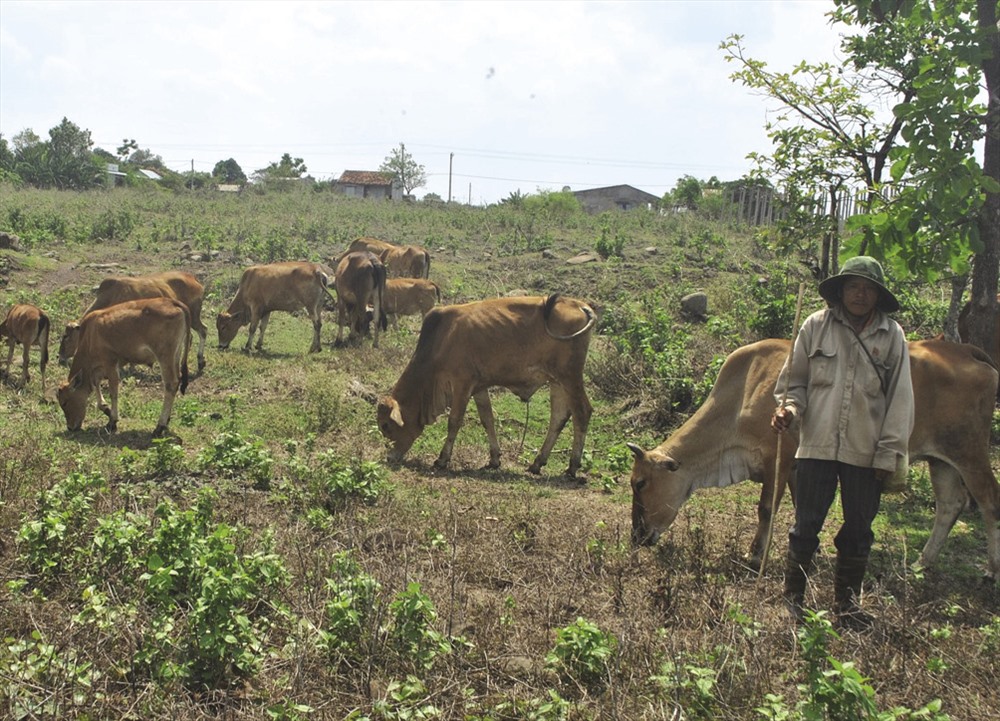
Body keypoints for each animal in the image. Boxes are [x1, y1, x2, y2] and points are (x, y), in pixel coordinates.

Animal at [56, 296, 191, 436]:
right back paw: (167, 421)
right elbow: (96, 383)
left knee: (171, 384)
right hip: (176, 355)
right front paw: (106, 409)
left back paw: (160, 426)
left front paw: (112, 422)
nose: (70, 427)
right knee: (177, 380)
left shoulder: (111, 363)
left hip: (165, 357)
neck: (89, 335)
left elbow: (113, 391)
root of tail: (173, 302)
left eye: (64, 402)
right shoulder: (99, 369)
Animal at [58, 270, 207, 372]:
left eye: (66, 337)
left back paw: (199, 361)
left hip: (194, 317)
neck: (112, 294)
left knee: (203, 331)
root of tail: (192, 278)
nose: (60, 357)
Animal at [376, 292, 592, 478]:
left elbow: (454, 421)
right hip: (557, 381)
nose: (390, 457)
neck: (442, 339)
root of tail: (580, 305)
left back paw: (572, 466)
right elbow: (487, 419)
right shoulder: (479, 387)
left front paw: (442, 459)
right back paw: (537, 463)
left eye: (386, 425)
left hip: (570, 377)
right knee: (558, 417)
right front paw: (494, 459)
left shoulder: (462, 384)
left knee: (582, 412)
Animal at [624, 338, 1000, 580]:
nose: (637, 536)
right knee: (950, 505)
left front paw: (754, 554)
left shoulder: (778, 457)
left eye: (640, 483)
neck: (745, 389)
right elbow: (802, 510)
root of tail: (965, 350)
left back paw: (991, 571)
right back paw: (922, 563)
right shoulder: (796, 466)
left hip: (970, 451)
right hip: (942, 460)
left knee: (988, 501)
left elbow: (766, 509)